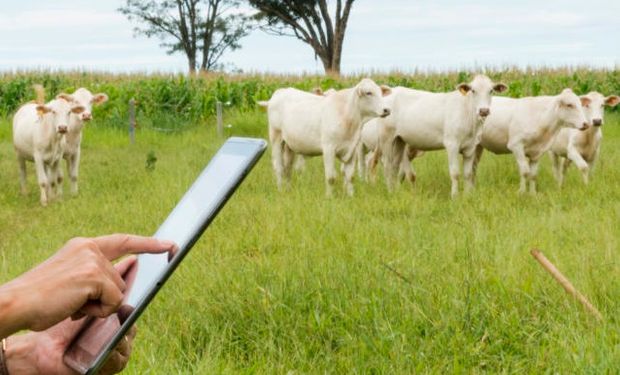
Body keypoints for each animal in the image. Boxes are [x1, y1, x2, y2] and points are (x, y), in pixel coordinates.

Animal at [260, 79, 390, 197]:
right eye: (369, 93)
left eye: (380, 92)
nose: (387, 109)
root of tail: (280, 91)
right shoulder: (329, 148)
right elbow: (331, 177)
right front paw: (329, 197)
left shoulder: (352, 150)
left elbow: (350, 176)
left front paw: (350, 196)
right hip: (276, 138)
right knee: (278, 167)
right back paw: (280, 190)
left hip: (289, 146)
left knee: (287, 169)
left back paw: (288, 189)